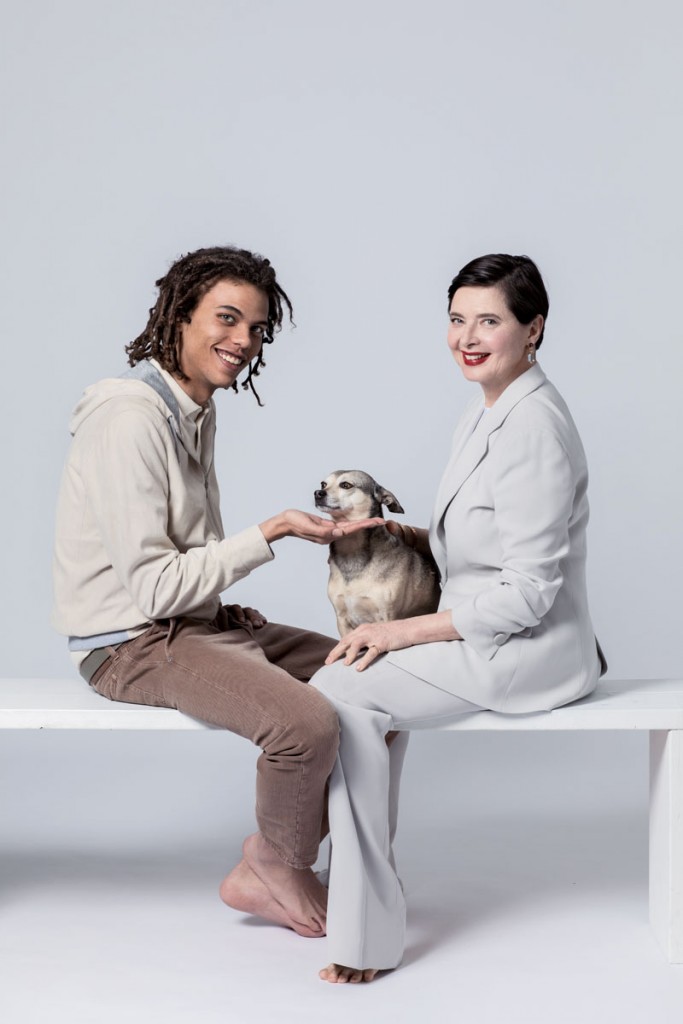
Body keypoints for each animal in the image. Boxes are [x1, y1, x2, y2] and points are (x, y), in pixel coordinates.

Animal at [313, 468, 440, 630]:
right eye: (323, 484)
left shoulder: (387, 618)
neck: (351, 549)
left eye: (346, 485)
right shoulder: (342, 619)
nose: (317, 493)